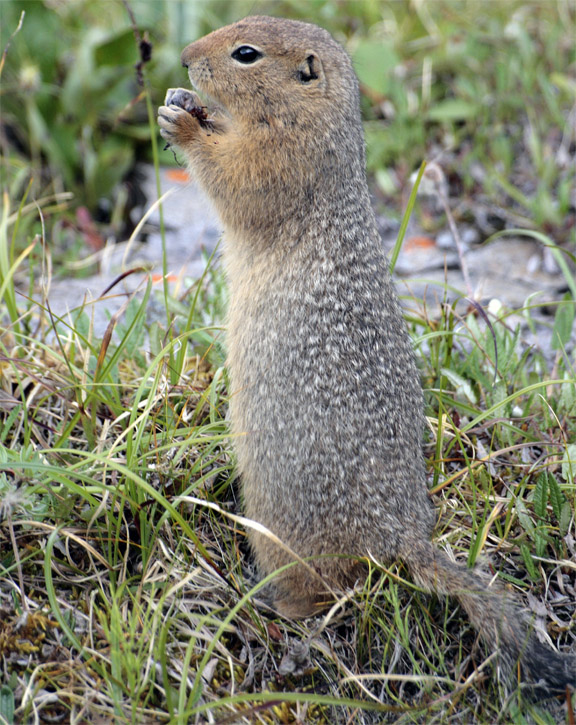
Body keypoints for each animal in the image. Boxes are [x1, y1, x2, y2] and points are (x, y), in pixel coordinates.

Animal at [158, 15, 576, 696]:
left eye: (245, 53)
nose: (187, 56)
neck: (313, 121)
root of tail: (401, 531)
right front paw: (182, 100)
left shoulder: (286, 160)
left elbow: (239, 180)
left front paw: (186, 123)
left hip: (286, 523)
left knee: (324, 591)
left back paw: (270, 606)